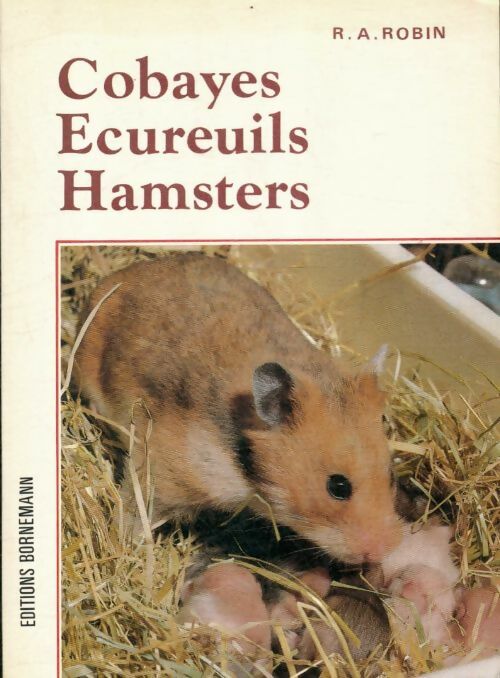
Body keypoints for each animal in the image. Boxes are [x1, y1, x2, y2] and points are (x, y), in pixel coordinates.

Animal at [75, 252, 402, 564]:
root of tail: (122, 274)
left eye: (391, 476)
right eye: (338, 486)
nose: (382, 553)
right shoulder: (160, 472)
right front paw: (128, 545)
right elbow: (136, 509)